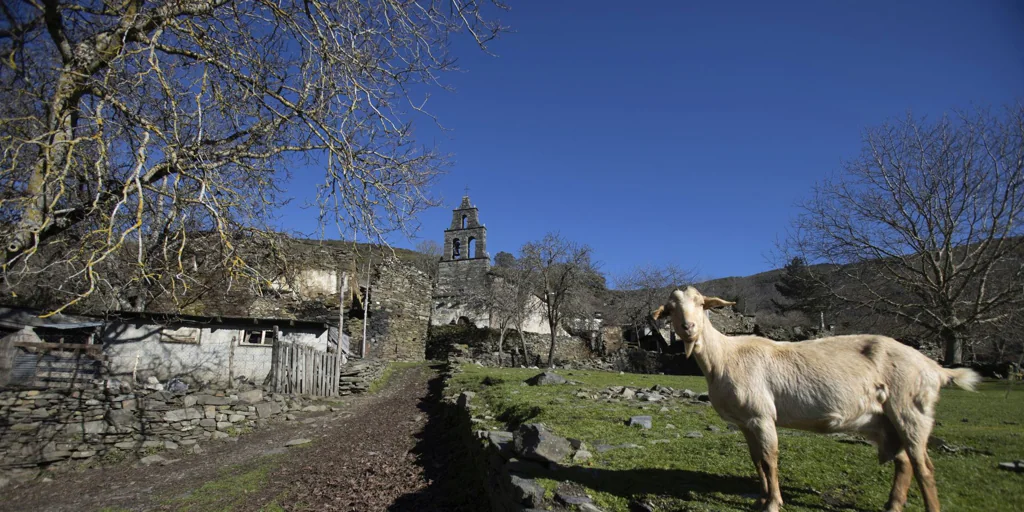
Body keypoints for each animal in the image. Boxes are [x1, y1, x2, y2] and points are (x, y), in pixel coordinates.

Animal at [651, 288, 978, 512]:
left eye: (701, 304)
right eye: (671, 310)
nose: (688, 328)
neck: (725, 356)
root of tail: (934, 367)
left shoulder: (762, 415)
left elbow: (770, 459)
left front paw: (774, 503)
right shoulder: (746, 421)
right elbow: (757, 460)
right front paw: (761, 498)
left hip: (910, 409)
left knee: (924, 467)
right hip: (885, 420)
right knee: (904, 463)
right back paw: (892, 505)